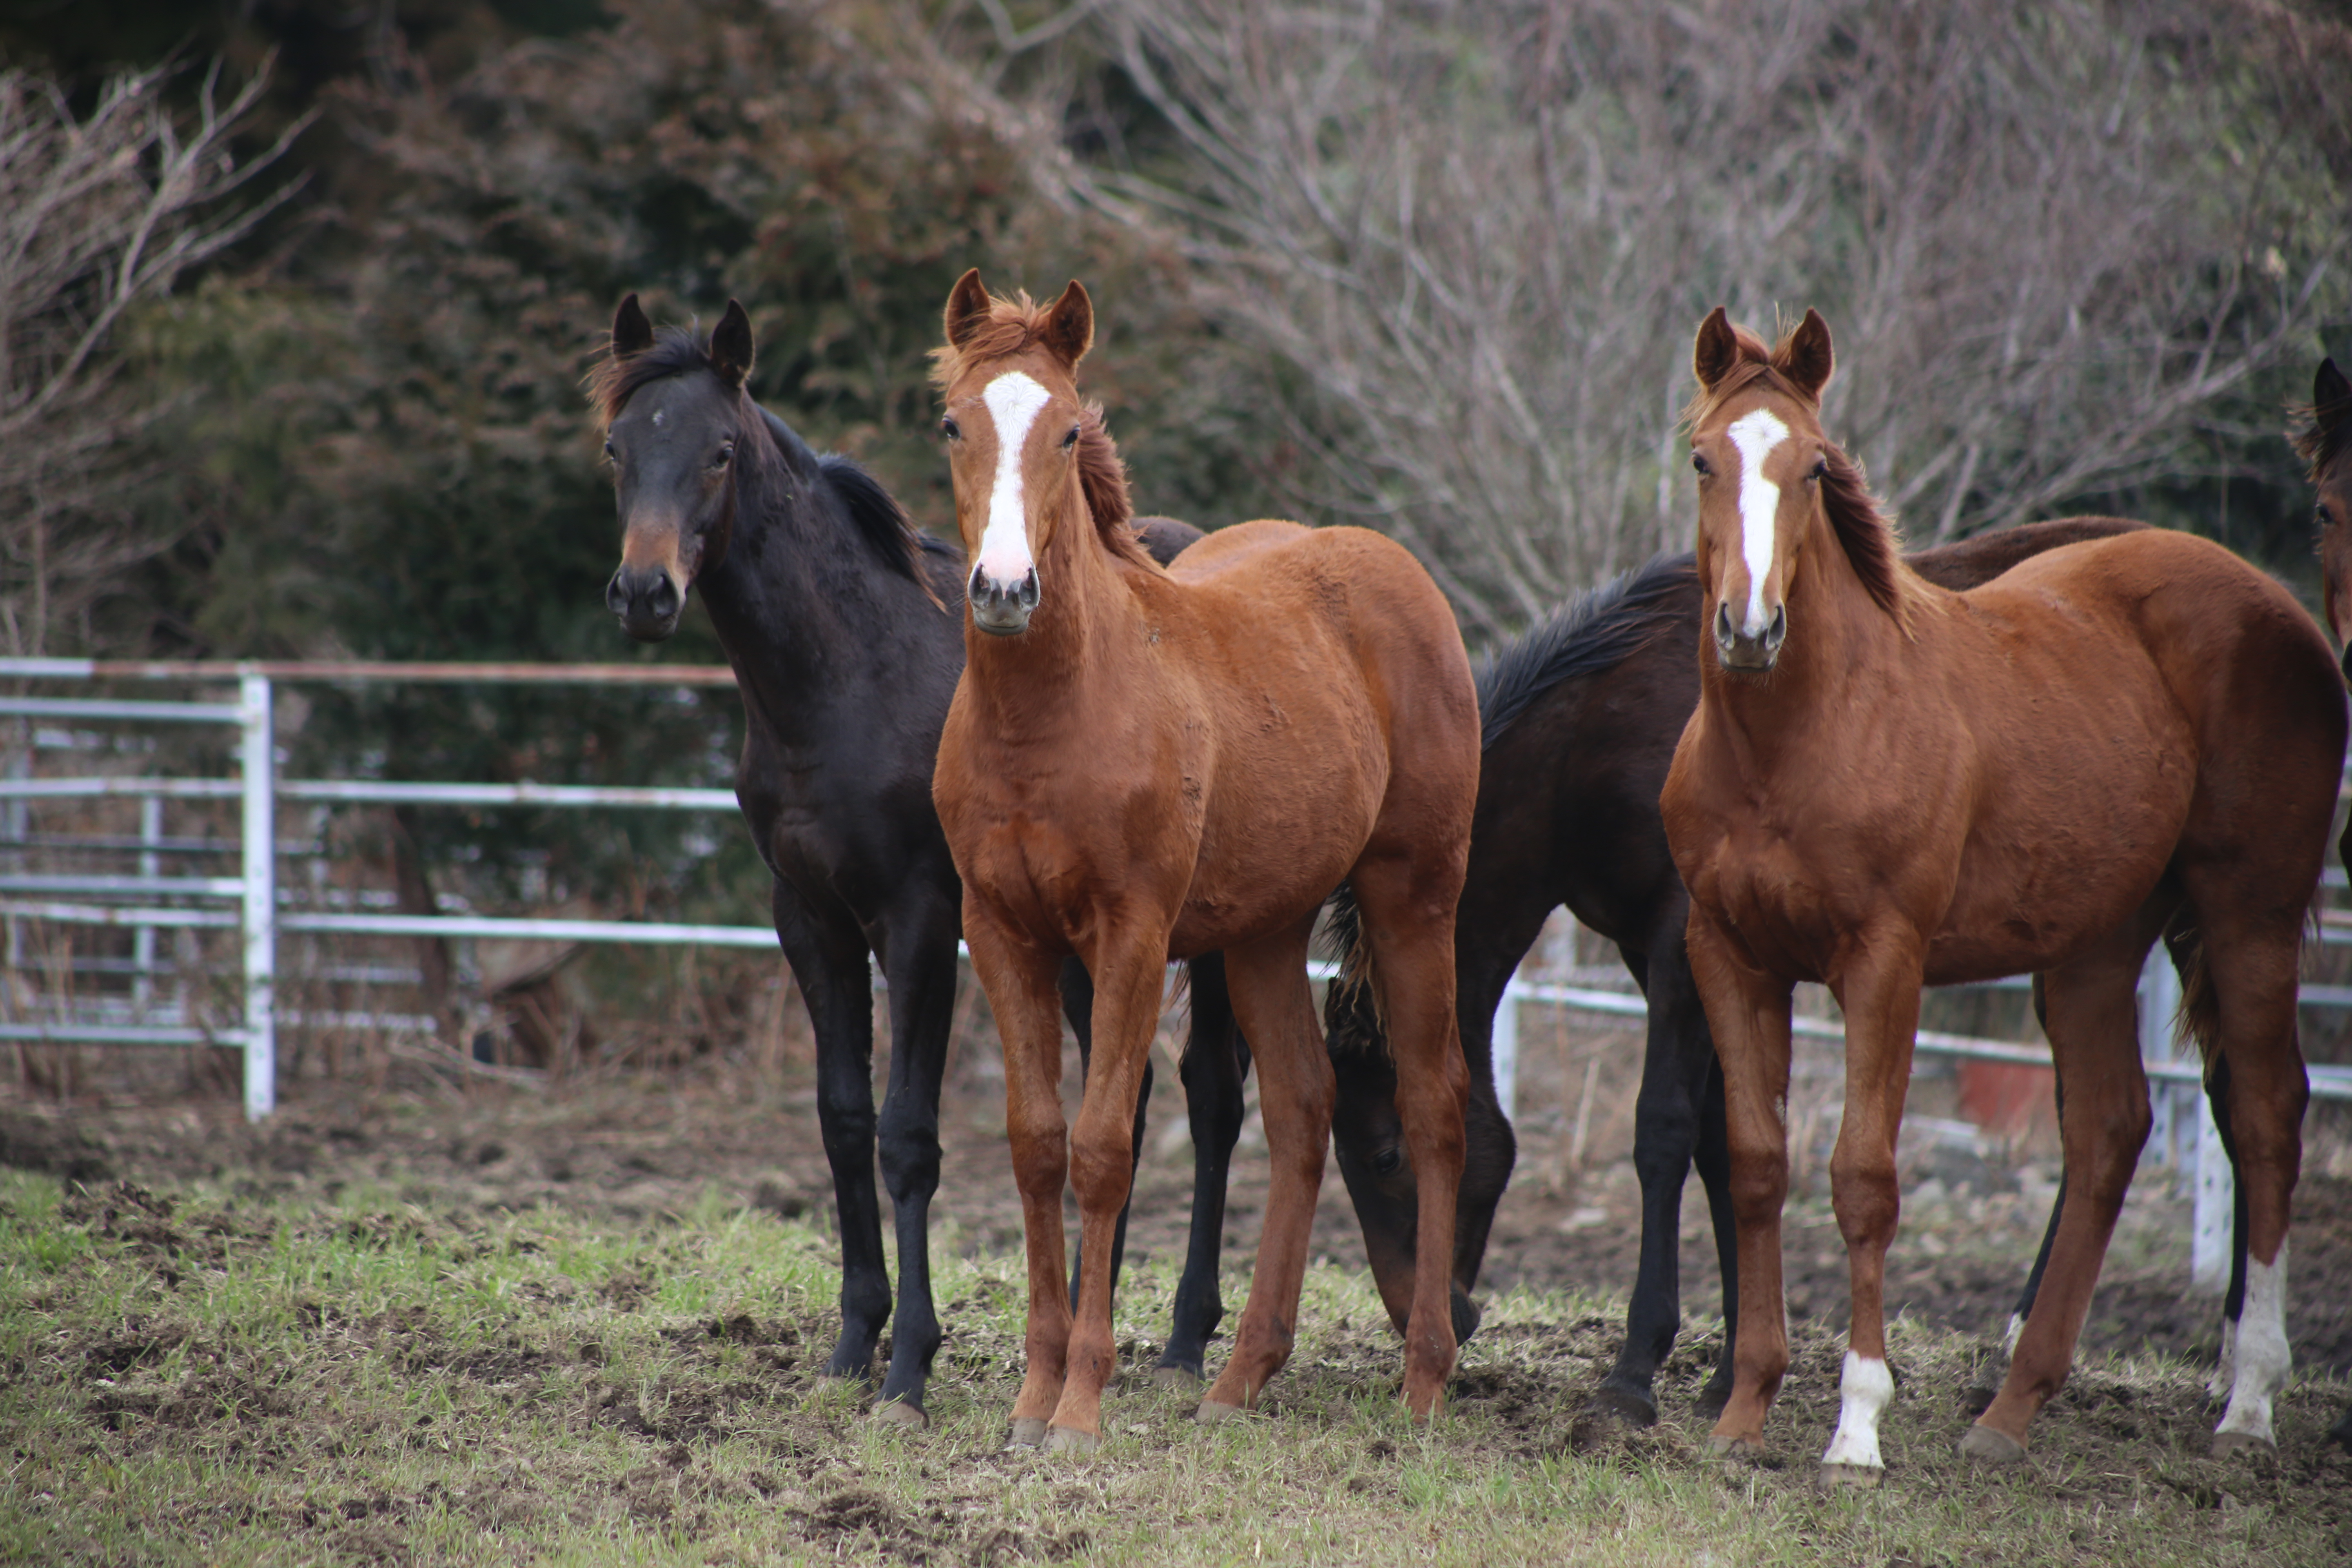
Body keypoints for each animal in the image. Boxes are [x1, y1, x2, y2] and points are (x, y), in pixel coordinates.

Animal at [592, 297, 1251, 1420]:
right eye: (617, 448)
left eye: (719, 451)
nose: (645, 592)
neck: (850, 675)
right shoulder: (806, 915)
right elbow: (843, 1117)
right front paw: (854, 1340)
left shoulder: (918, 918)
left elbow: (908, 1134)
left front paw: (908, 1363)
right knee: (1123, 1099)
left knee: (1210, 1096)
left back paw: (1179, 1338)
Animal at [917, 272, 1468, 1457]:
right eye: (953, 424)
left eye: (1065, 428)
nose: (1004, 590)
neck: (1051, 717)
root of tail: (1399, 574)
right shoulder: (1000, 934)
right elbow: (1035, 1145)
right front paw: (1030, 1397)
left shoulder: (1130, 935)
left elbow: (1101, 1149)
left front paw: (1079, 1406)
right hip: (1265, 931)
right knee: (1303, 1107)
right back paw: (1240, 1376)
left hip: (1413, 899)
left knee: (1433, 1104)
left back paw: (1423, 1381)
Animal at [1317, 522, 2145, 1429]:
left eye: (1385, 1155)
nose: (1430, 1317)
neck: (1607, 741)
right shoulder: (1686, 960)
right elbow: (1729, 1140)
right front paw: (1730, 1372)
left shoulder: (1682, 946)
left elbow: (1663, 1132)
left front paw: (1635, 1370)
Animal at [1665, 303, 2342, 1486]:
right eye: (1705, 459)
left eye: (1812, 468)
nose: (1751, 629)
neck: (1793, 740)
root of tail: (2285, 616)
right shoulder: (1730, 956)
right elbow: (1753, 1164)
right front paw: (1743, 1412)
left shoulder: (1883, 963)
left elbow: (1862, 1178)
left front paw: (1856, 1426)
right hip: (2093, 949)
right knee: (2110, 1130)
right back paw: (2012, 1408)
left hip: (2244, 918)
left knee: (2263, 1116)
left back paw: (2248, 1403)